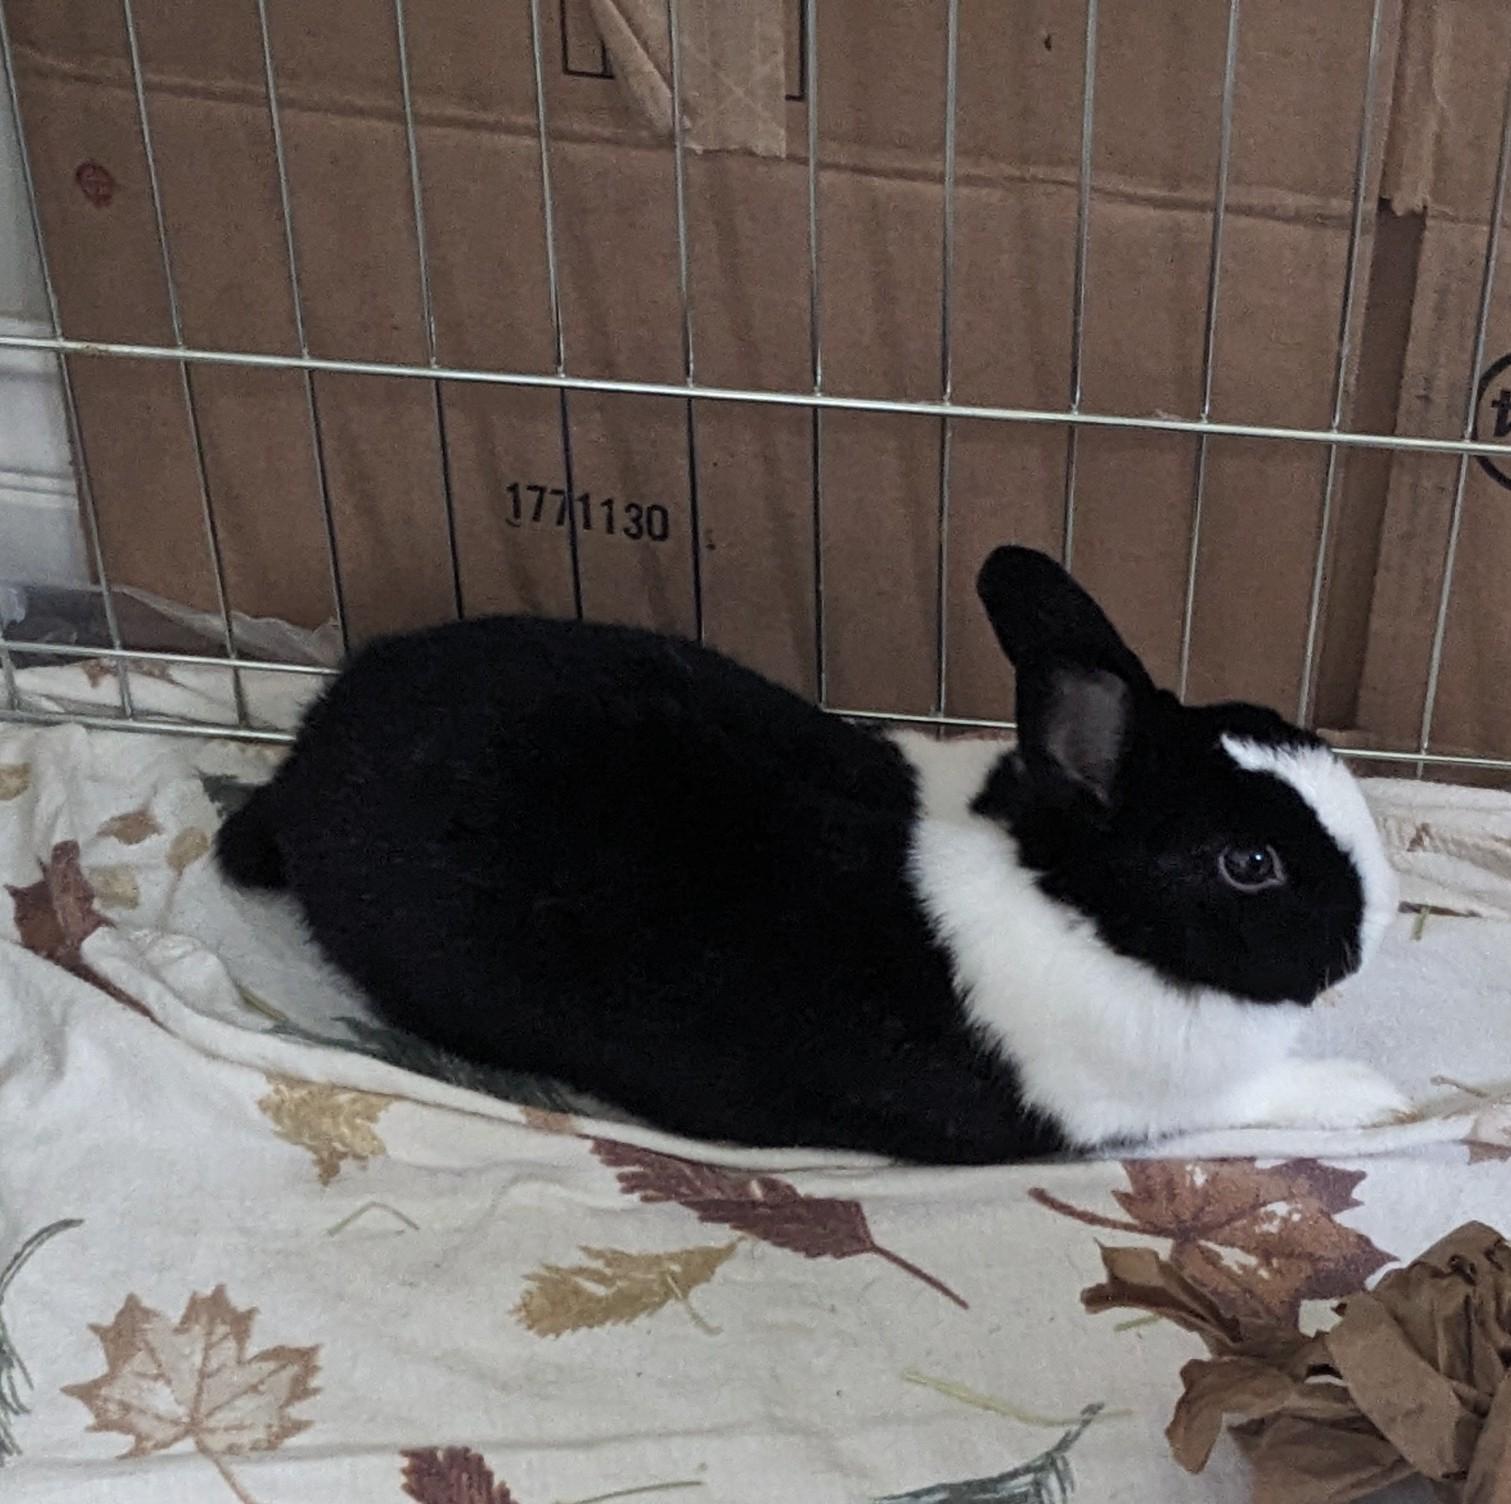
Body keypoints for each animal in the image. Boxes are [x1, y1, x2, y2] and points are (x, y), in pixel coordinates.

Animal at [216, 545, 1408, 1163]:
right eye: (1247, 865)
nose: (1380, 926)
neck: (1073, 900)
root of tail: (305, 763)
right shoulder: (1128, 1104)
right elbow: (1259, 1096)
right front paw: (1374, 1098)